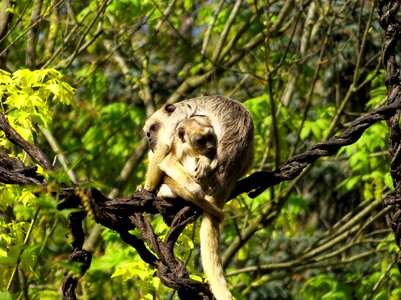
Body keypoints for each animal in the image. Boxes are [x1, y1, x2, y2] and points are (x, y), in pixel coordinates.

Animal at [142, 95, 253, 300]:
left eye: (153, 128)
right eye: (148, 133)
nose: (150, 139)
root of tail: (226, 177)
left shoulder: (179, 115)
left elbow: (165, 145)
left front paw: (147, 189)